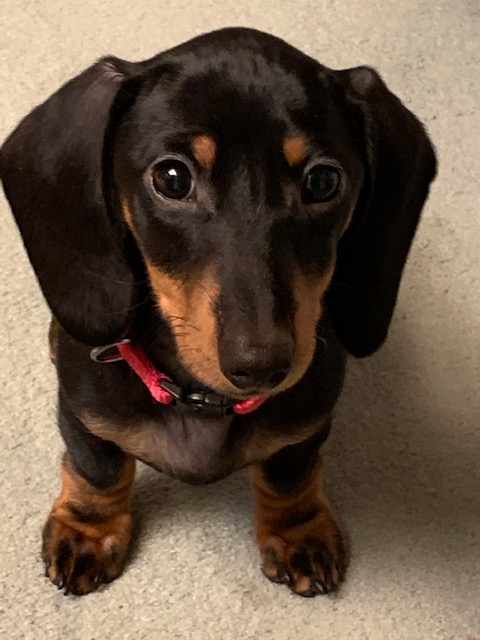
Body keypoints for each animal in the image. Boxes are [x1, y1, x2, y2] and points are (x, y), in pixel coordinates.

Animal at [0, 27, 436, 597]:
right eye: (172, 178)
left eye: (323, 182)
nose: (263, 366)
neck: (202, 399)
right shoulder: (83, 414)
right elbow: (98, 469)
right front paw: (88, 530)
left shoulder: (308, 422)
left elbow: (288, 474)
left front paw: (297, 531)